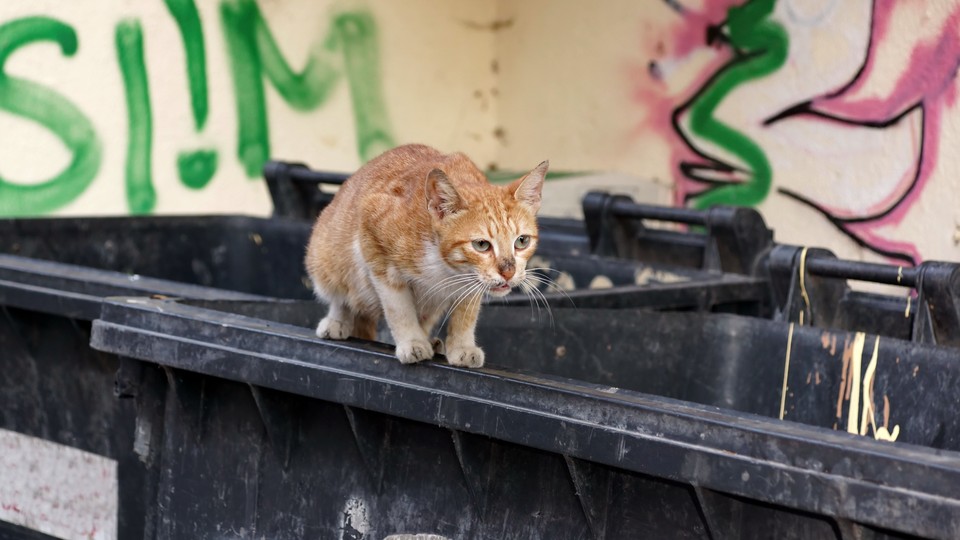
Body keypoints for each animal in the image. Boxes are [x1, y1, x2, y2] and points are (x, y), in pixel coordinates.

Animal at [308, 143, 548, 368]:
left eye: (522, 241)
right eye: (481, 245)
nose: (508, 272)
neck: (446, 269)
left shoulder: (471, 284)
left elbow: (466, 315)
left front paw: (461, 347)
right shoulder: (374, 237)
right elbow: (399, 307)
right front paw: (412, 343)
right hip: (326, 260)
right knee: (342, 297)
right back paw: (337, 322)